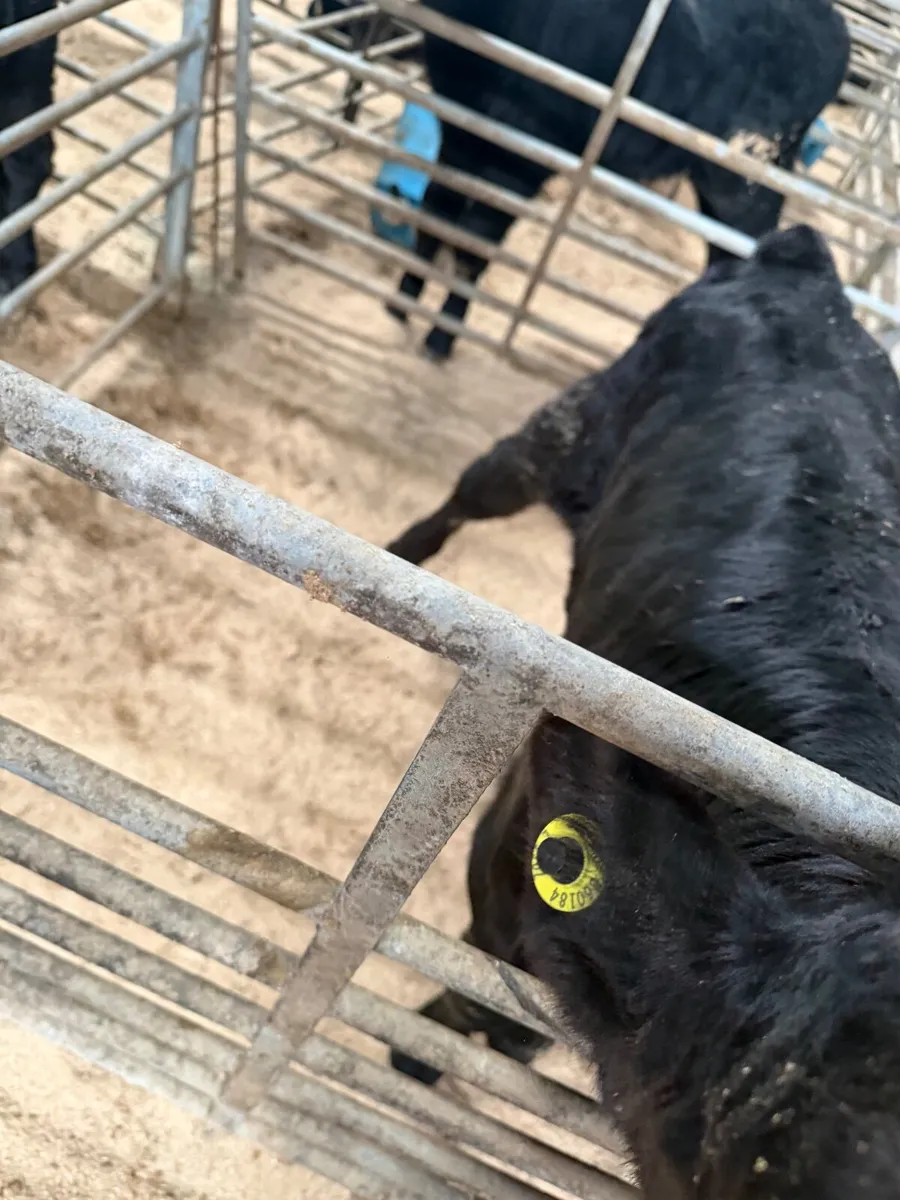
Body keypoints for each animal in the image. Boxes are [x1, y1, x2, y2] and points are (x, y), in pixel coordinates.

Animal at [386, 0, 852, 362]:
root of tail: (834, 24)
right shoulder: (459, 132)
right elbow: (434, 219)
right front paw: (403, 301)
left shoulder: (521, 157)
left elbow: (474, 246)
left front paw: (441, 337)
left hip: (749, 173)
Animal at [386, 224, 900, 1197]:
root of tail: (797, 257)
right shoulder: (508, 861)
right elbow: (488, 988)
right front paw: (411, 1055)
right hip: (570, 420)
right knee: (478, 487)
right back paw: (403, 551)